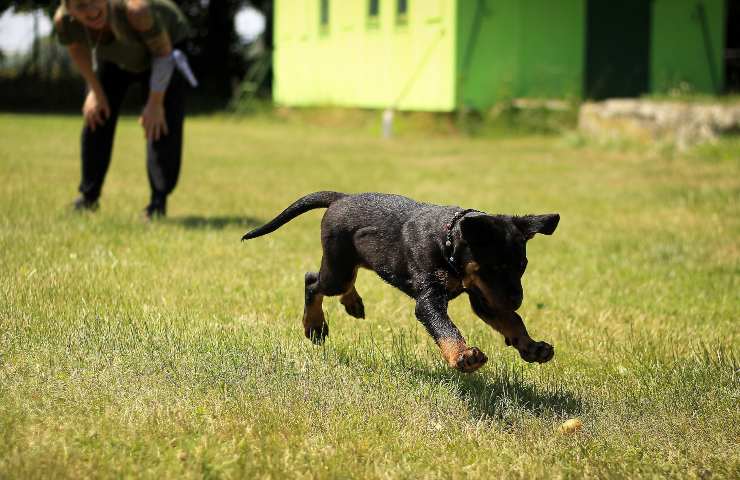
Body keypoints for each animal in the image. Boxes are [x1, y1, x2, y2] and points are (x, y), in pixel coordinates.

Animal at [240, 191, 556, 372]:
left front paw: (531, 347)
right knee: (312, 281)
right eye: (496, 267)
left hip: (353, 261)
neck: (447, 240)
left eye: (522, 267)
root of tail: (341, 197)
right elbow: (446, 328)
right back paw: (314, 325)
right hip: (337, 269)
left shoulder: (484, 297)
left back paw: (352, 303)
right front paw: (463, 355)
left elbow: (512, 320)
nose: (517, 299)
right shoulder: (430, 300)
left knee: (344, 279)